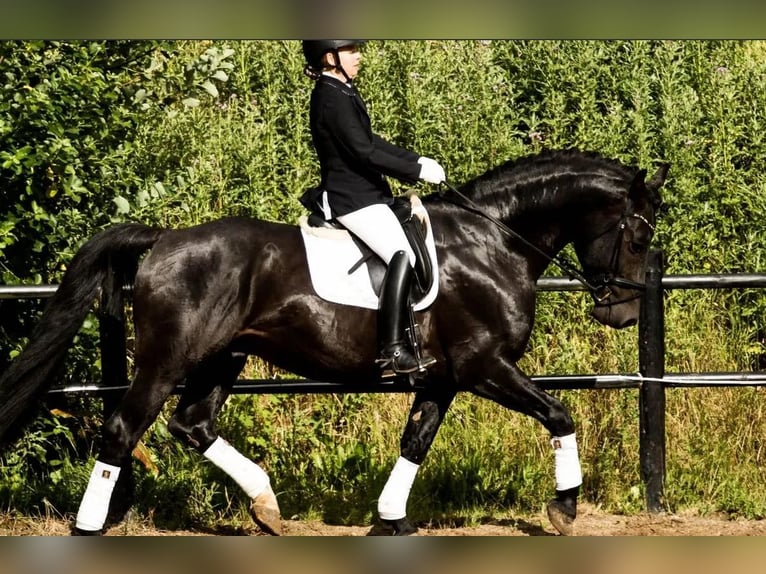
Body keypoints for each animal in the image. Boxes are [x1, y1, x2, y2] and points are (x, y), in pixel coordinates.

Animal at [0, 148, 667, 536]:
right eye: (638, 236)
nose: (623, 313)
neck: (493, 241)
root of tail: (164, 239)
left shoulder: (444, 378)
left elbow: (415, 443)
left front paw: (391, 520)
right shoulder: (485, 366)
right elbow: (558, 412)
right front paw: (565, 508)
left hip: (223, 358)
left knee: (191, 425)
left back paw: (266, 507)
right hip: (167, 361)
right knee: (122, 429)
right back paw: (90, 529)